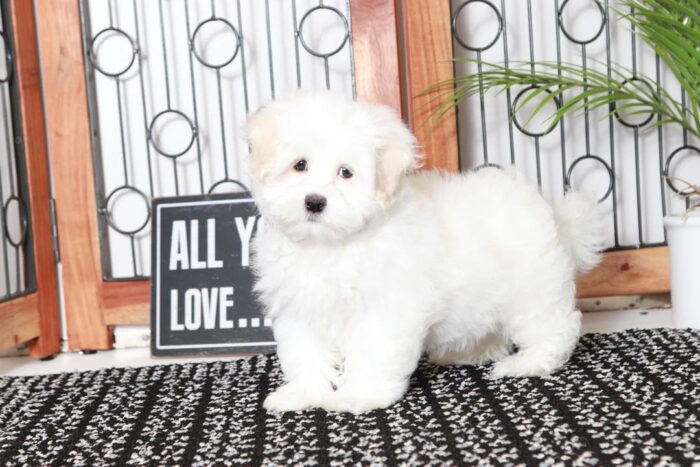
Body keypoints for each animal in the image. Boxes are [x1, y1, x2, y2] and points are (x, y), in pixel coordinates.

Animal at [245, 93, 600, 414]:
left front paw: (358, 395)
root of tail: (553, 214)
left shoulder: (386, 308)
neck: (331, 245)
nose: (315, 201)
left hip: (533, 287)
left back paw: (527, 362)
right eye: (300, 165)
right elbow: (305, 354)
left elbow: (373, 351)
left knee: (555, 327)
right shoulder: (299, 308)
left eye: (346, 172)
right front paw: (303, 393)